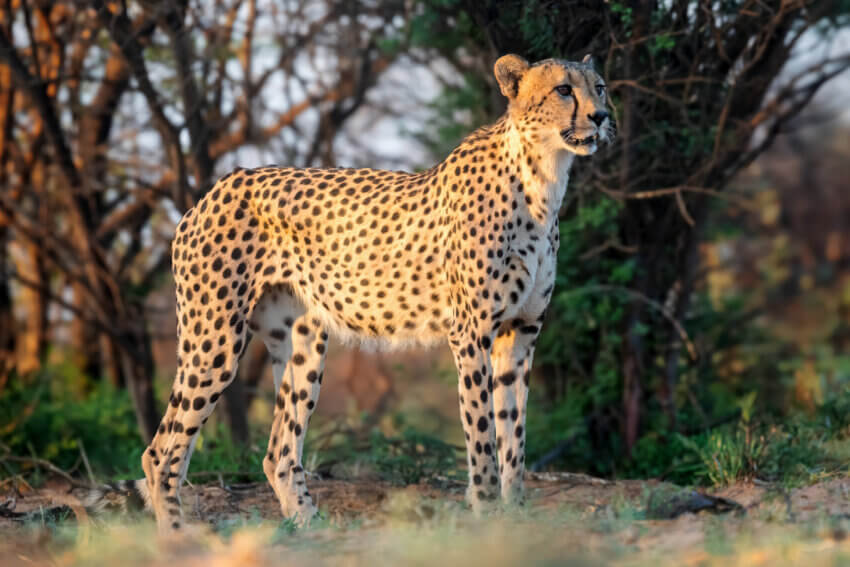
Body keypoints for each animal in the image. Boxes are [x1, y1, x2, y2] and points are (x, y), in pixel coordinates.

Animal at [141, 53, 616, 532]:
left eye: (599, 87)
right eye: (563, 90)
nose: (601, 116)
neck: (542, 177)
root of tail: (218, 187)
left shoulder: (520, 333)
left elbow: (513, 434)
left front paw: (515, 516)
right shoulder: (472, 334)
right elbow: (482, 434)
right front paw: (485, 513)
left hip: (304, 344)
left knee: (278, 453)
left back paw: (312, 527)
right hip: (214, 342)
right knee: (160, 452)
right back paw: (178, 533)